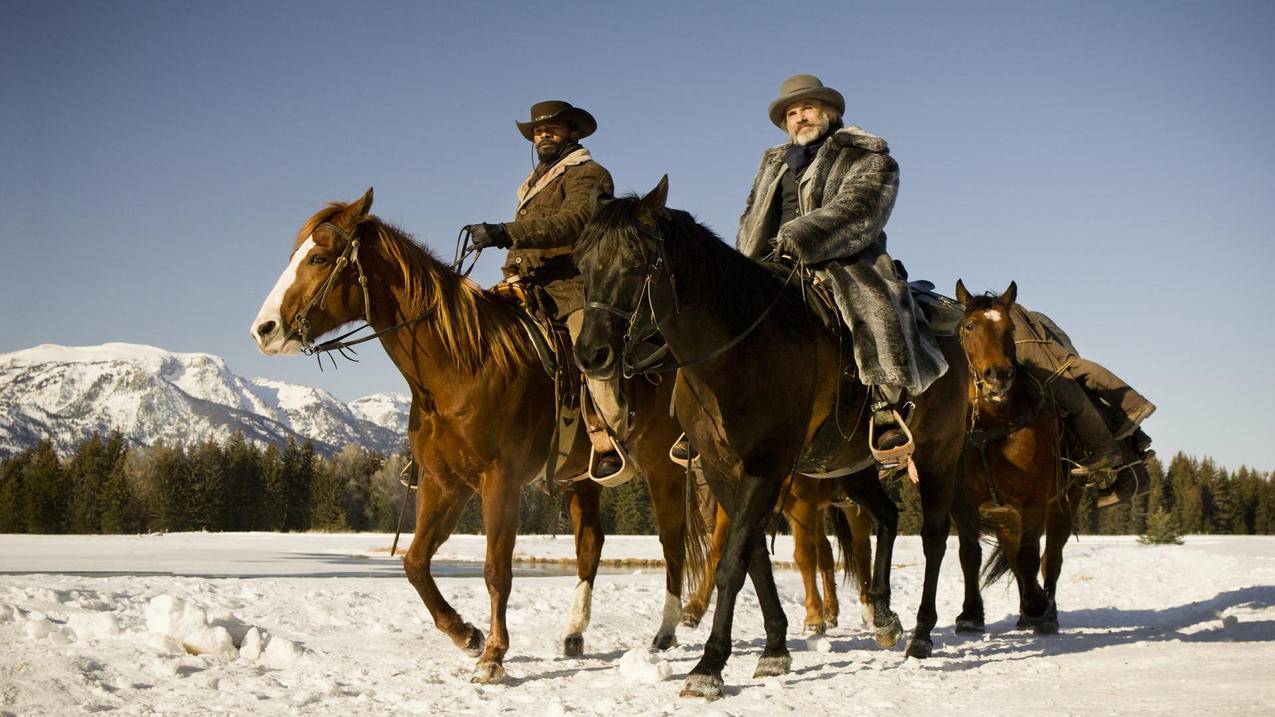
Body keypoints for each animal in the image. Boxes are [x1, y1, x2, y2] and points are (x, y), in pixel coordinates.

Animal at [248, 190, 708, 678]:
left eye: (318, 256)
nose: (263, 330)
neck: (461, 366)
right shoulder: (443, 484)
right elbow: (414, 562)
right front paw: (465, 634)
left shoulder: (499, 481)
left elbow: (496, 570)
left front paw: (493, 656)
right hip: (581, 478)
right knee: (590, 545)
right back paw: (573, 633)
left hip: (661, 463)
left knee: (673, 541)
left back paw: (665, 631)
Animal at [571, 179, 963, 699]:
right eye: (582, 263)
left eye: (637, 262)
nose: (591, 354)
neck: (737, 351)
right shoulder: (721, 468)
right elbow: (754, 555)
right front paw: (775, 647)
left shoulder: (766, 466)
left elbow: (732, 561)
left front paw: (709, 666)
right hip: (852, 466)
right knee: (887, 515)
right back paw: (882, 613)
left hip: (940, 456)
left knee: (935, 538)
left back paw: (920, 634)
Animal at [953, 279, 1081, 630]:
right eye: (969, 326)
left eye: (1009, 328)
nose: (998, 375)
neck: (992, 427)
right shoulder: (961, 504)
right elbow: (970, 555)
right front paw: (970, 615)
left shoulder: (1034, 500)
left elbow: (1028, 557)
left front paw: (1037, 605)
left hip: (1063, 504)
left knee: (1050, 558)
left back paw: (1045, 611)